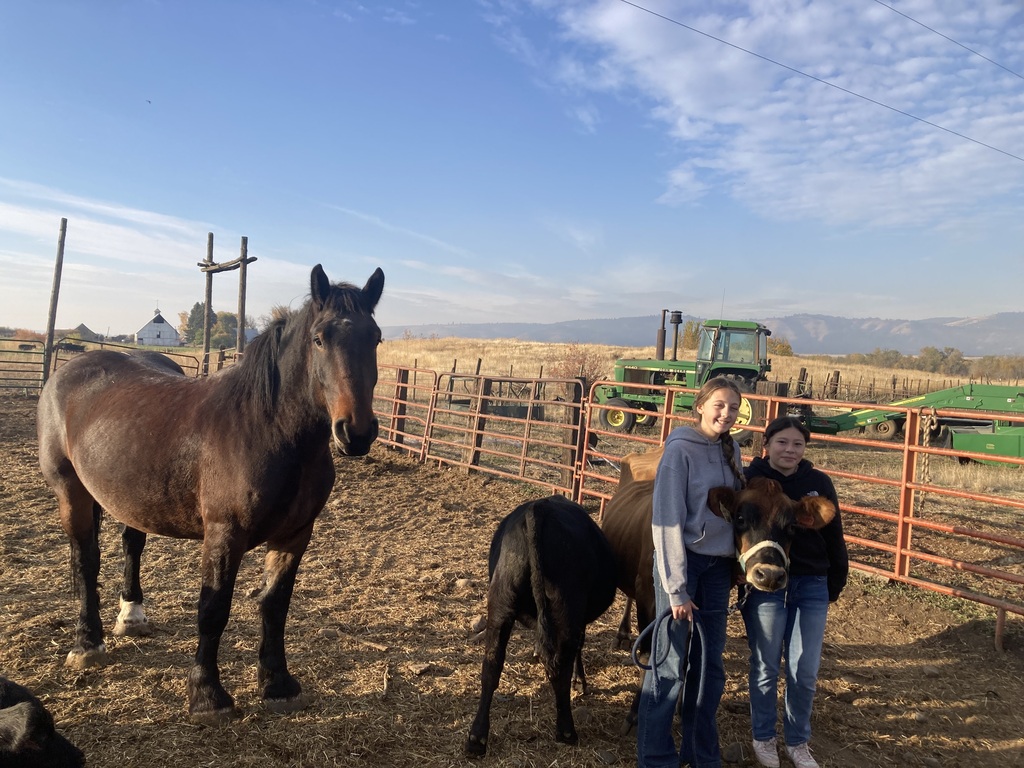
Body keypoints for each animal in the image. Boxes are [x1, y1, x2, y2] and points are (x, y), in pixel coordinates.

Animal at [465, 495, 618, 758]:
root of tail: (539, 508)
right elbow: (579, 646)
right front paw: (580, 680)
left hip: (500, 604)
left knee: (491, 666)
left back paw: (477, 738)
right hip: (567, 608)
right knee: (560, 668)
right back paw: (566, 731)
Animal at [600, 448, 836, 729]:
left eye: (791, 526)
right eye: (740, 518)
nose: (769, 574)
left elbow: (688, 656)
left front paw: (681, 707)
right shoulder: (648, 593)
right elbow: (649, 653)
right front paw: (636, 713)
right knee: (629, 598)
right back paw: (622, 633)